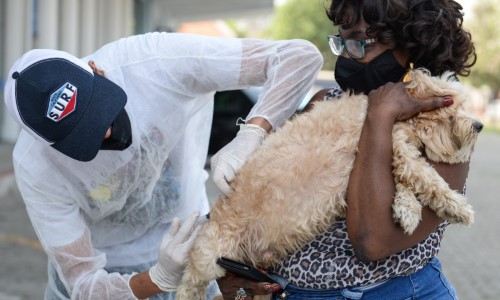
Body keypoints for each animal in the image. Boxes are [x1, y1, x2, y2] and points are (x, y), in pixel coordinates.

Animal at [175, 68, 480, 300]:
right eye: (451, 108)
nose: (479, 125)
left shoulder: (397, 149)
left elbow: (407, 179)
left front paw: (408, 210)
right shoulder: (395, 144)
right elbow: (423, 175)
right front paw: (456, 207)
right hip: (207, 259)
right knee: (189, 285)